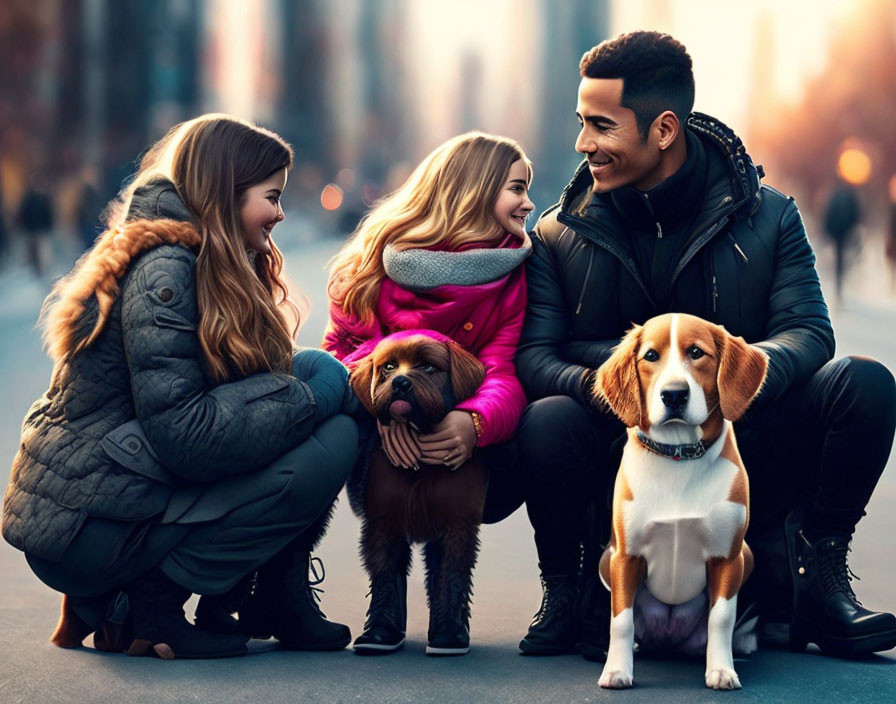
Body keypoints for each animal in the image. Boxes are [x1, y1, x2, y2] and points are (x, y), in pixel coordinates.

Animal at [352, 330, 490, 656]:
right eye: (388, 367)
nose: (400, 383)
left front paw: (449, 630)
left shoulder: (458, 525)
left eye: (428, 367)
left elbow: (451, 574)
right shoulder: (383, 522)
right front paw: (381, 628)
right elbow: (385, 573)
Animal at [596, 312, 764, 688]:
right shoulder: (625, 557)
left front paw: (721, 669)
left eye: (696, 352)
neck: (678, 456)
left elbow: (721, 618)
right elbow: (620, 620)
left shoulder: (728, 558)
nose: (674, 395)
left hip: (747, 555)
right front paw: (616, 670)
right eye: (650, 356)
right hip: (605, 559)